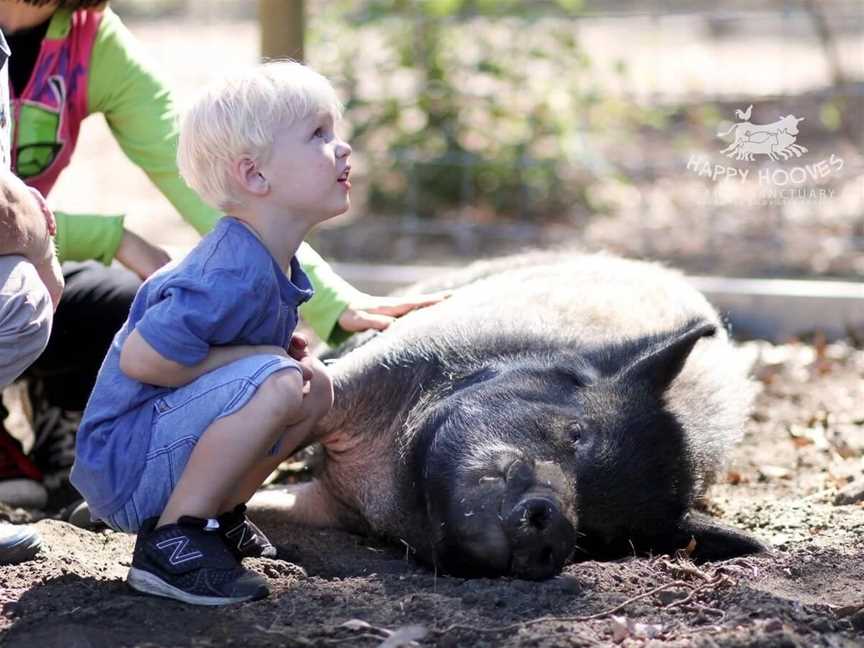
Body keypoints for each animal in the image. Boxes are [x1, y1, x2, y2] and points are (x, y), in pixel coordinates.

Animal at [280, 252, 768, 576]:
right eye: (577, 432)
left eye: (605, 537)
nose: (558, 527)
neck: (389, 477)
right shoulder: (391, 361)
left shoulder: (336, 505)